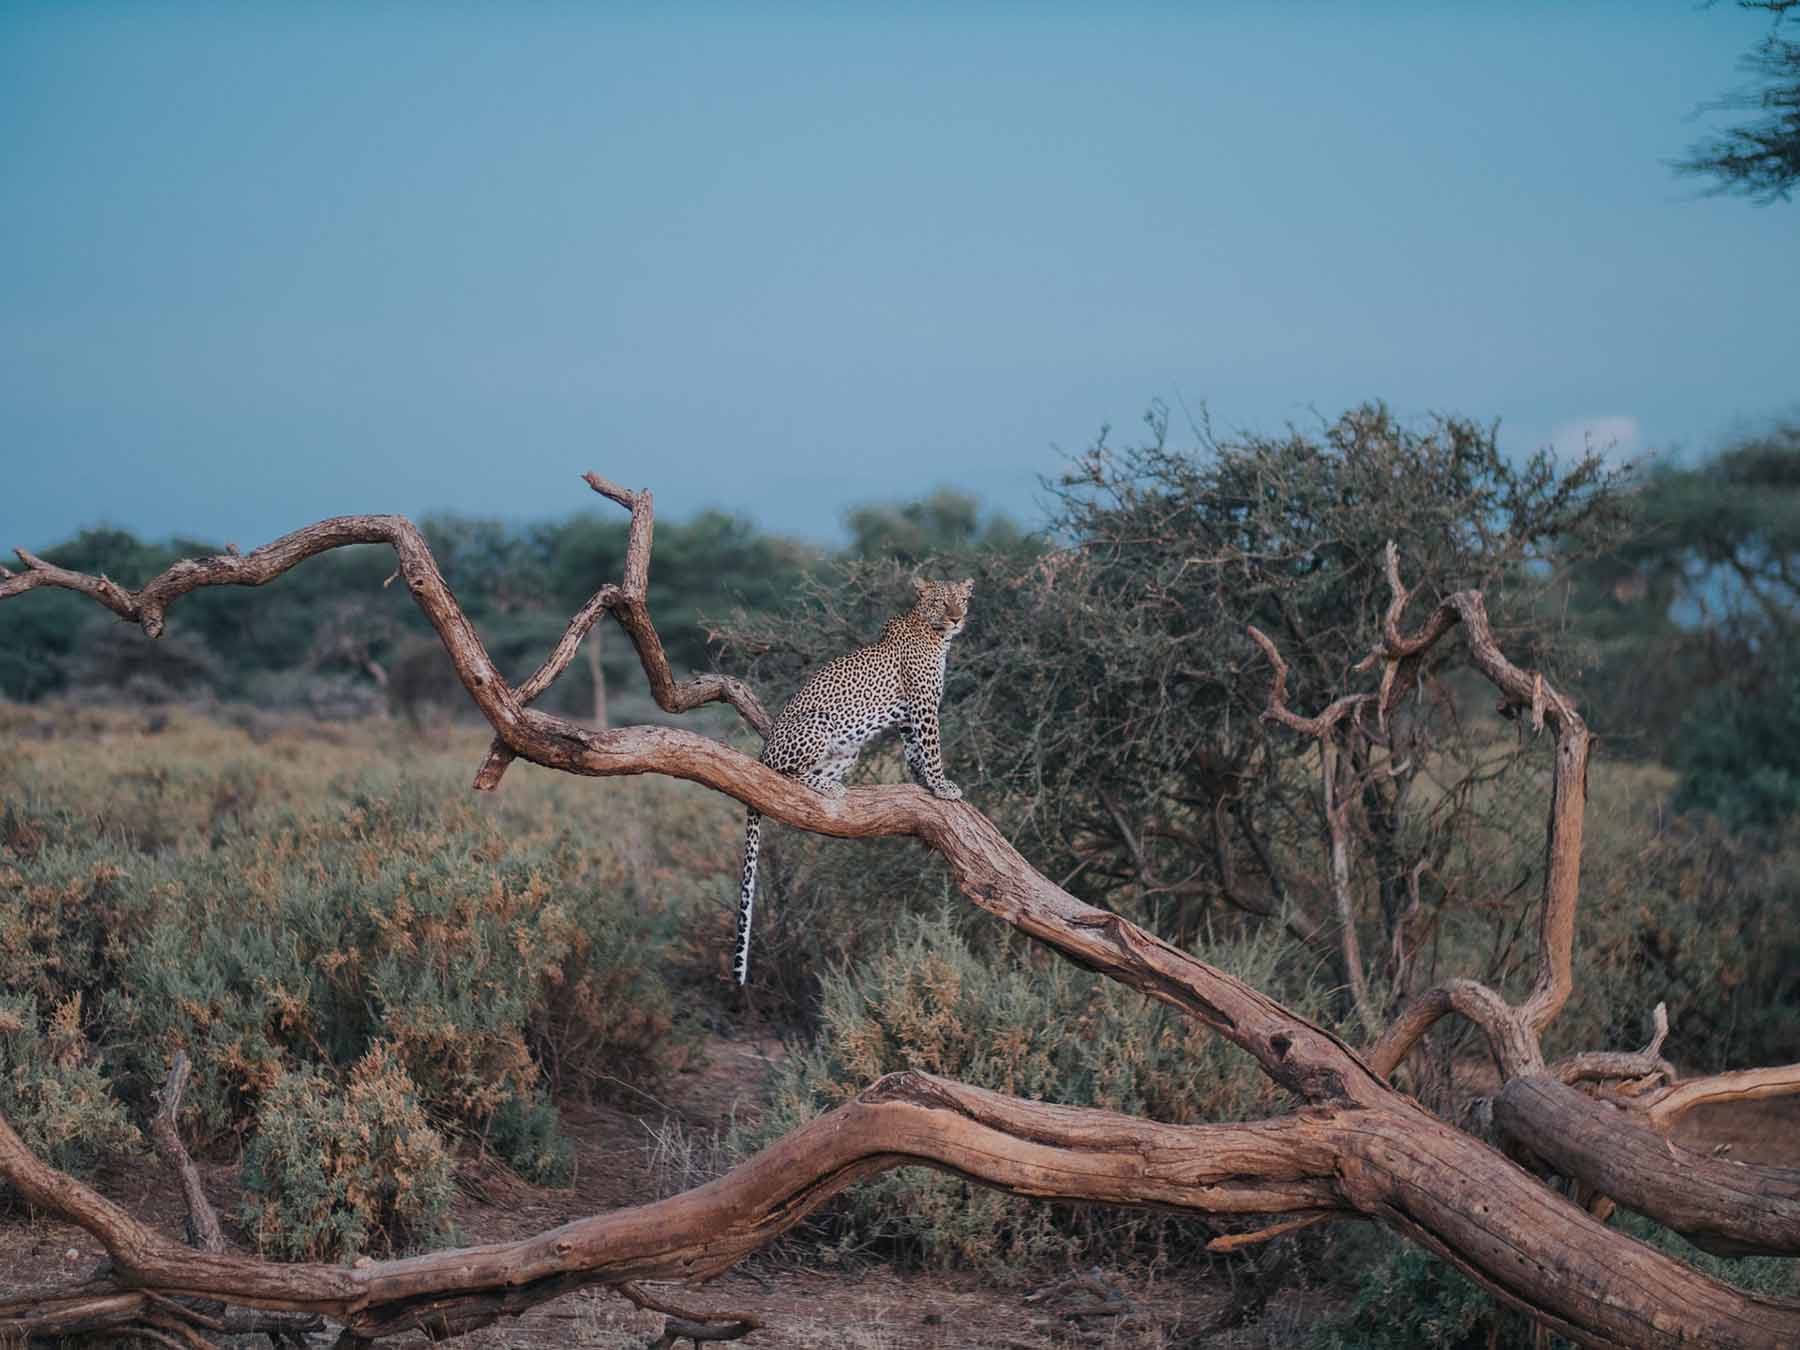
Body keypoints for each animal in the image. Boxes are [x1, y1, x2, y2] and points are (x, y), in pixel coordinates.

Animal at [733, 577, 973, 985]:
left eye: (962, 600)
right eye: (942, 602)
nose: (957, 618)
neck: (936, 635)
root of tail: (763, 751)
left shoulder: (908, 716)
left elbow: (915, 751)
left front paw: (923, 781)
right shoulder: (924, 705)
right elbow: (932, 748)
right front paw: (942, 786)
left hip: (848, 751)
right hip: (819, 725)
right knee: (784, 775)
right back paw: (827, 787)